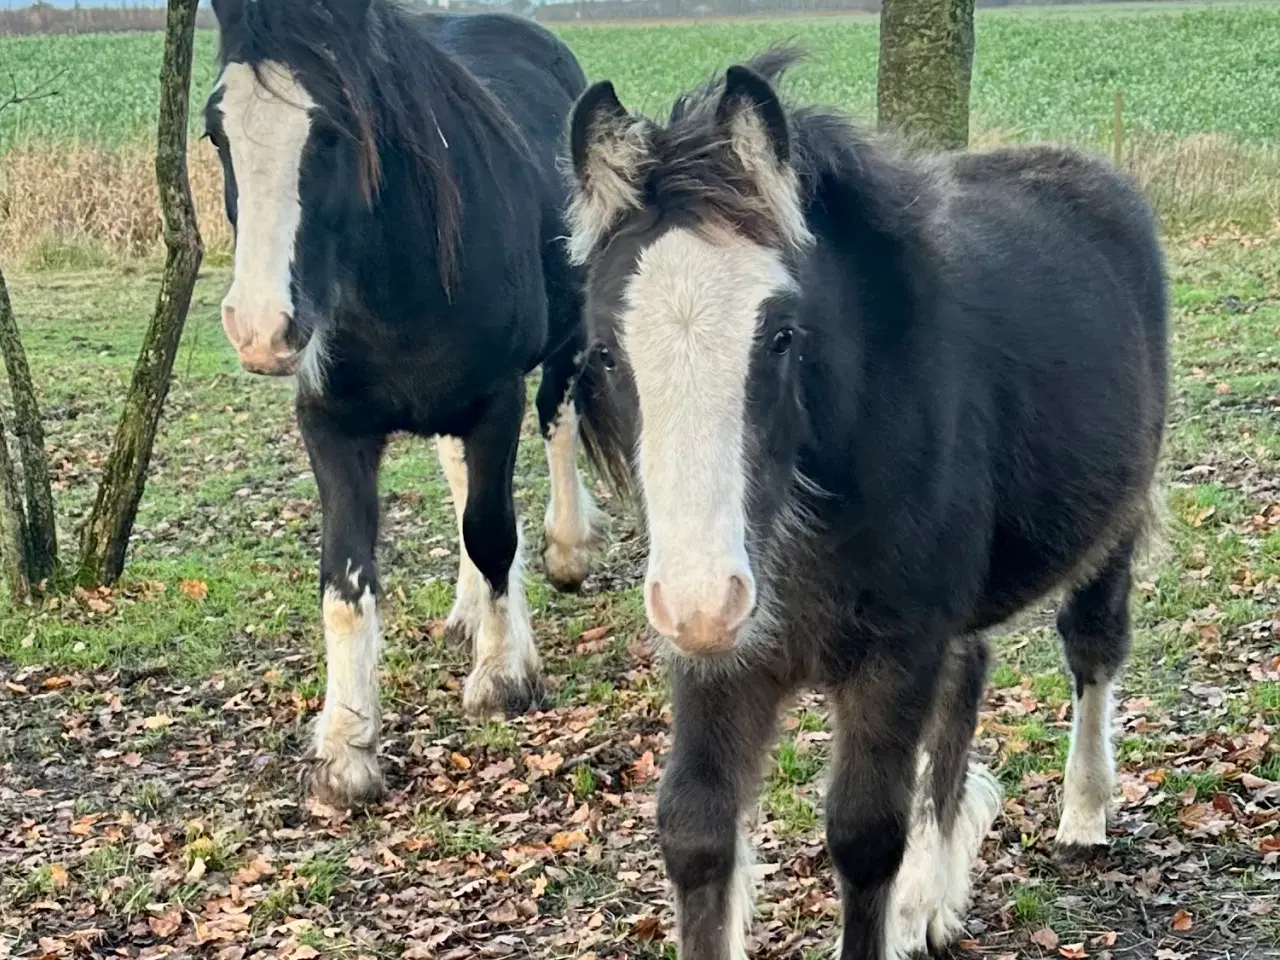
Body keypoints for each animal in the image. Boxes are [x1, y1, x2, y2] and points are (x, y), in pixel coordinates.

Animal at [200, 0, 599, 814]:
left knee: (559, 418)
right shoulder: (331, 426)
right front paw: (346, 748)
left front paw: (503, 680)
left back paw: (566, 551)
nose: (260, 328)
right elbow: (344, 582)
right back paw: (471, 613)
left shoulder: (495, 400)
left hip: (563, 339)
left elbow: (491, 533)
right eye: (217, 130)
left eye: (331, 131)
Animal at [570, 50, 1172, 960]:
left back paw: (1083, 815)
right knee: (966, 686)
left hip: (1112, 527)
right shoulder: (721, 667)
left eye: (782, 336)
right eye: (605, 352)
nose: (704, 603)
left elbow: (863, 836)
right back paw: (928, 901)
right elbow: (697, 833)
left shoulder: (893, 655)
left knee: (1092, 647)